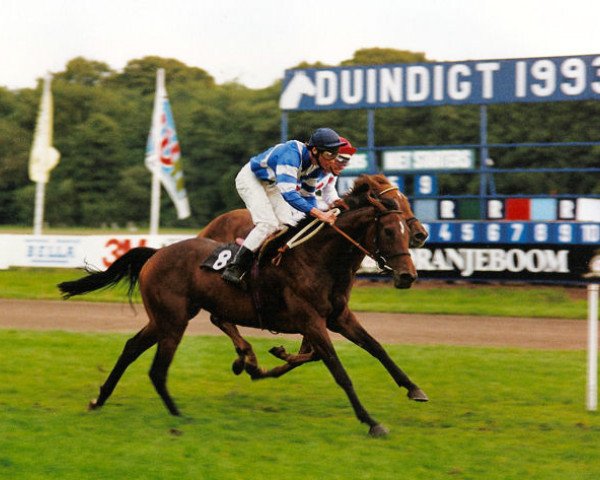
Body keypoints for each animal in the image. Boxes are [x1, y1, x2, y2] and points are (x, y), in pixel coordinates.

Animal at [58, 180, 426, 436]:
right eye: (389, 230)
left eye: (404, 230)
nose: (408, 275)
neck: (317, 258)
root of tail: (156, 253)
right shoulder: (311, 321)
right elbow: (339, 371)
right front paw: (371, 421)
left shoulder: (338, 317)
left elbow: (377, 348)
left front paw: (414, 388)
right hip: (173, 320)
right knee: (158, 368)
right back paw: (179, 413)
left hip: (165, 318)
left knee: (132, 348)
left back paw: (100, 399)